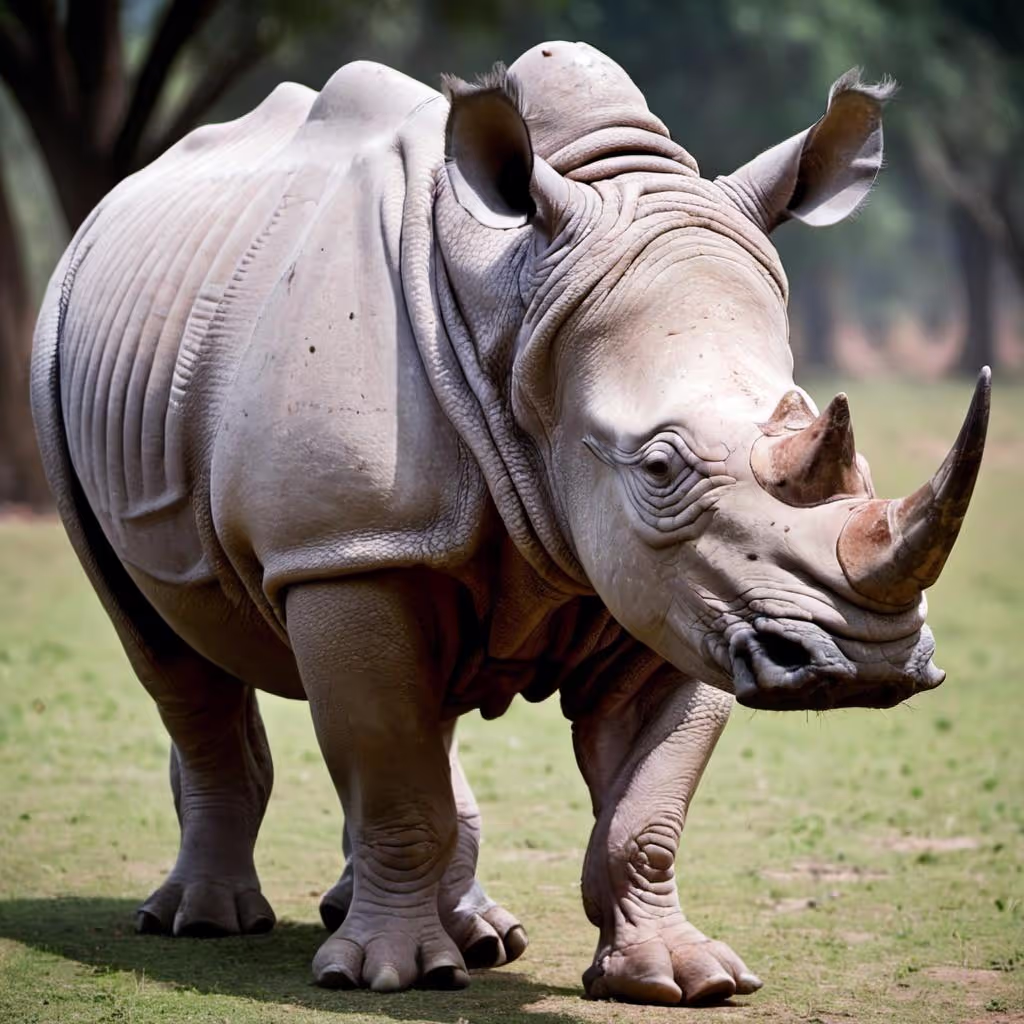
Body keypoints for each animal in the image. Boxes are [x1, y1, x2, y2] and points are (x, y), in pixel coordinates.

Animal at [31, 41, 989, 1004]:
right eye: (660, 468)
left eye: (825, 431)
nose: (865, 663)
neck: (523, 310)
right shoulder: (348, 548)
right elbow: (391, 769)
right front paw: (390, 977)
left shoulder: (693, 593)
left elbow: (646, 808)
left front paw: (683, 979)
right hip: (59, 360)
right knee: (163, 645)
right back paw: (206, 922)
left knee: (422, 700)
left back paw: (475, 933)